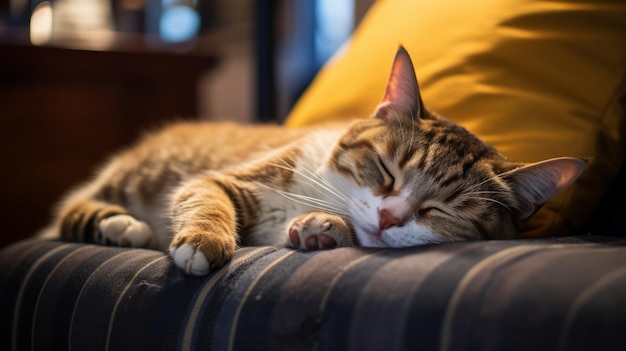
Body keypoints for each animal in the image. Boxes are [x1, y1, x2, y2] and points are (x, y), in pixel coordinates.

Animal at [41, 46, 584, 276]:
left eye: (443, 211)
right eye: (386, 170)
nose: (390, 218)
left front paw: (322, 230)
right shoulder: (226, 179)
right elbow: (206, 201)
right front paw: (203, 241)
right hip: (132, 178)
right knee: (70, 211)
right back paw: (120, 226)